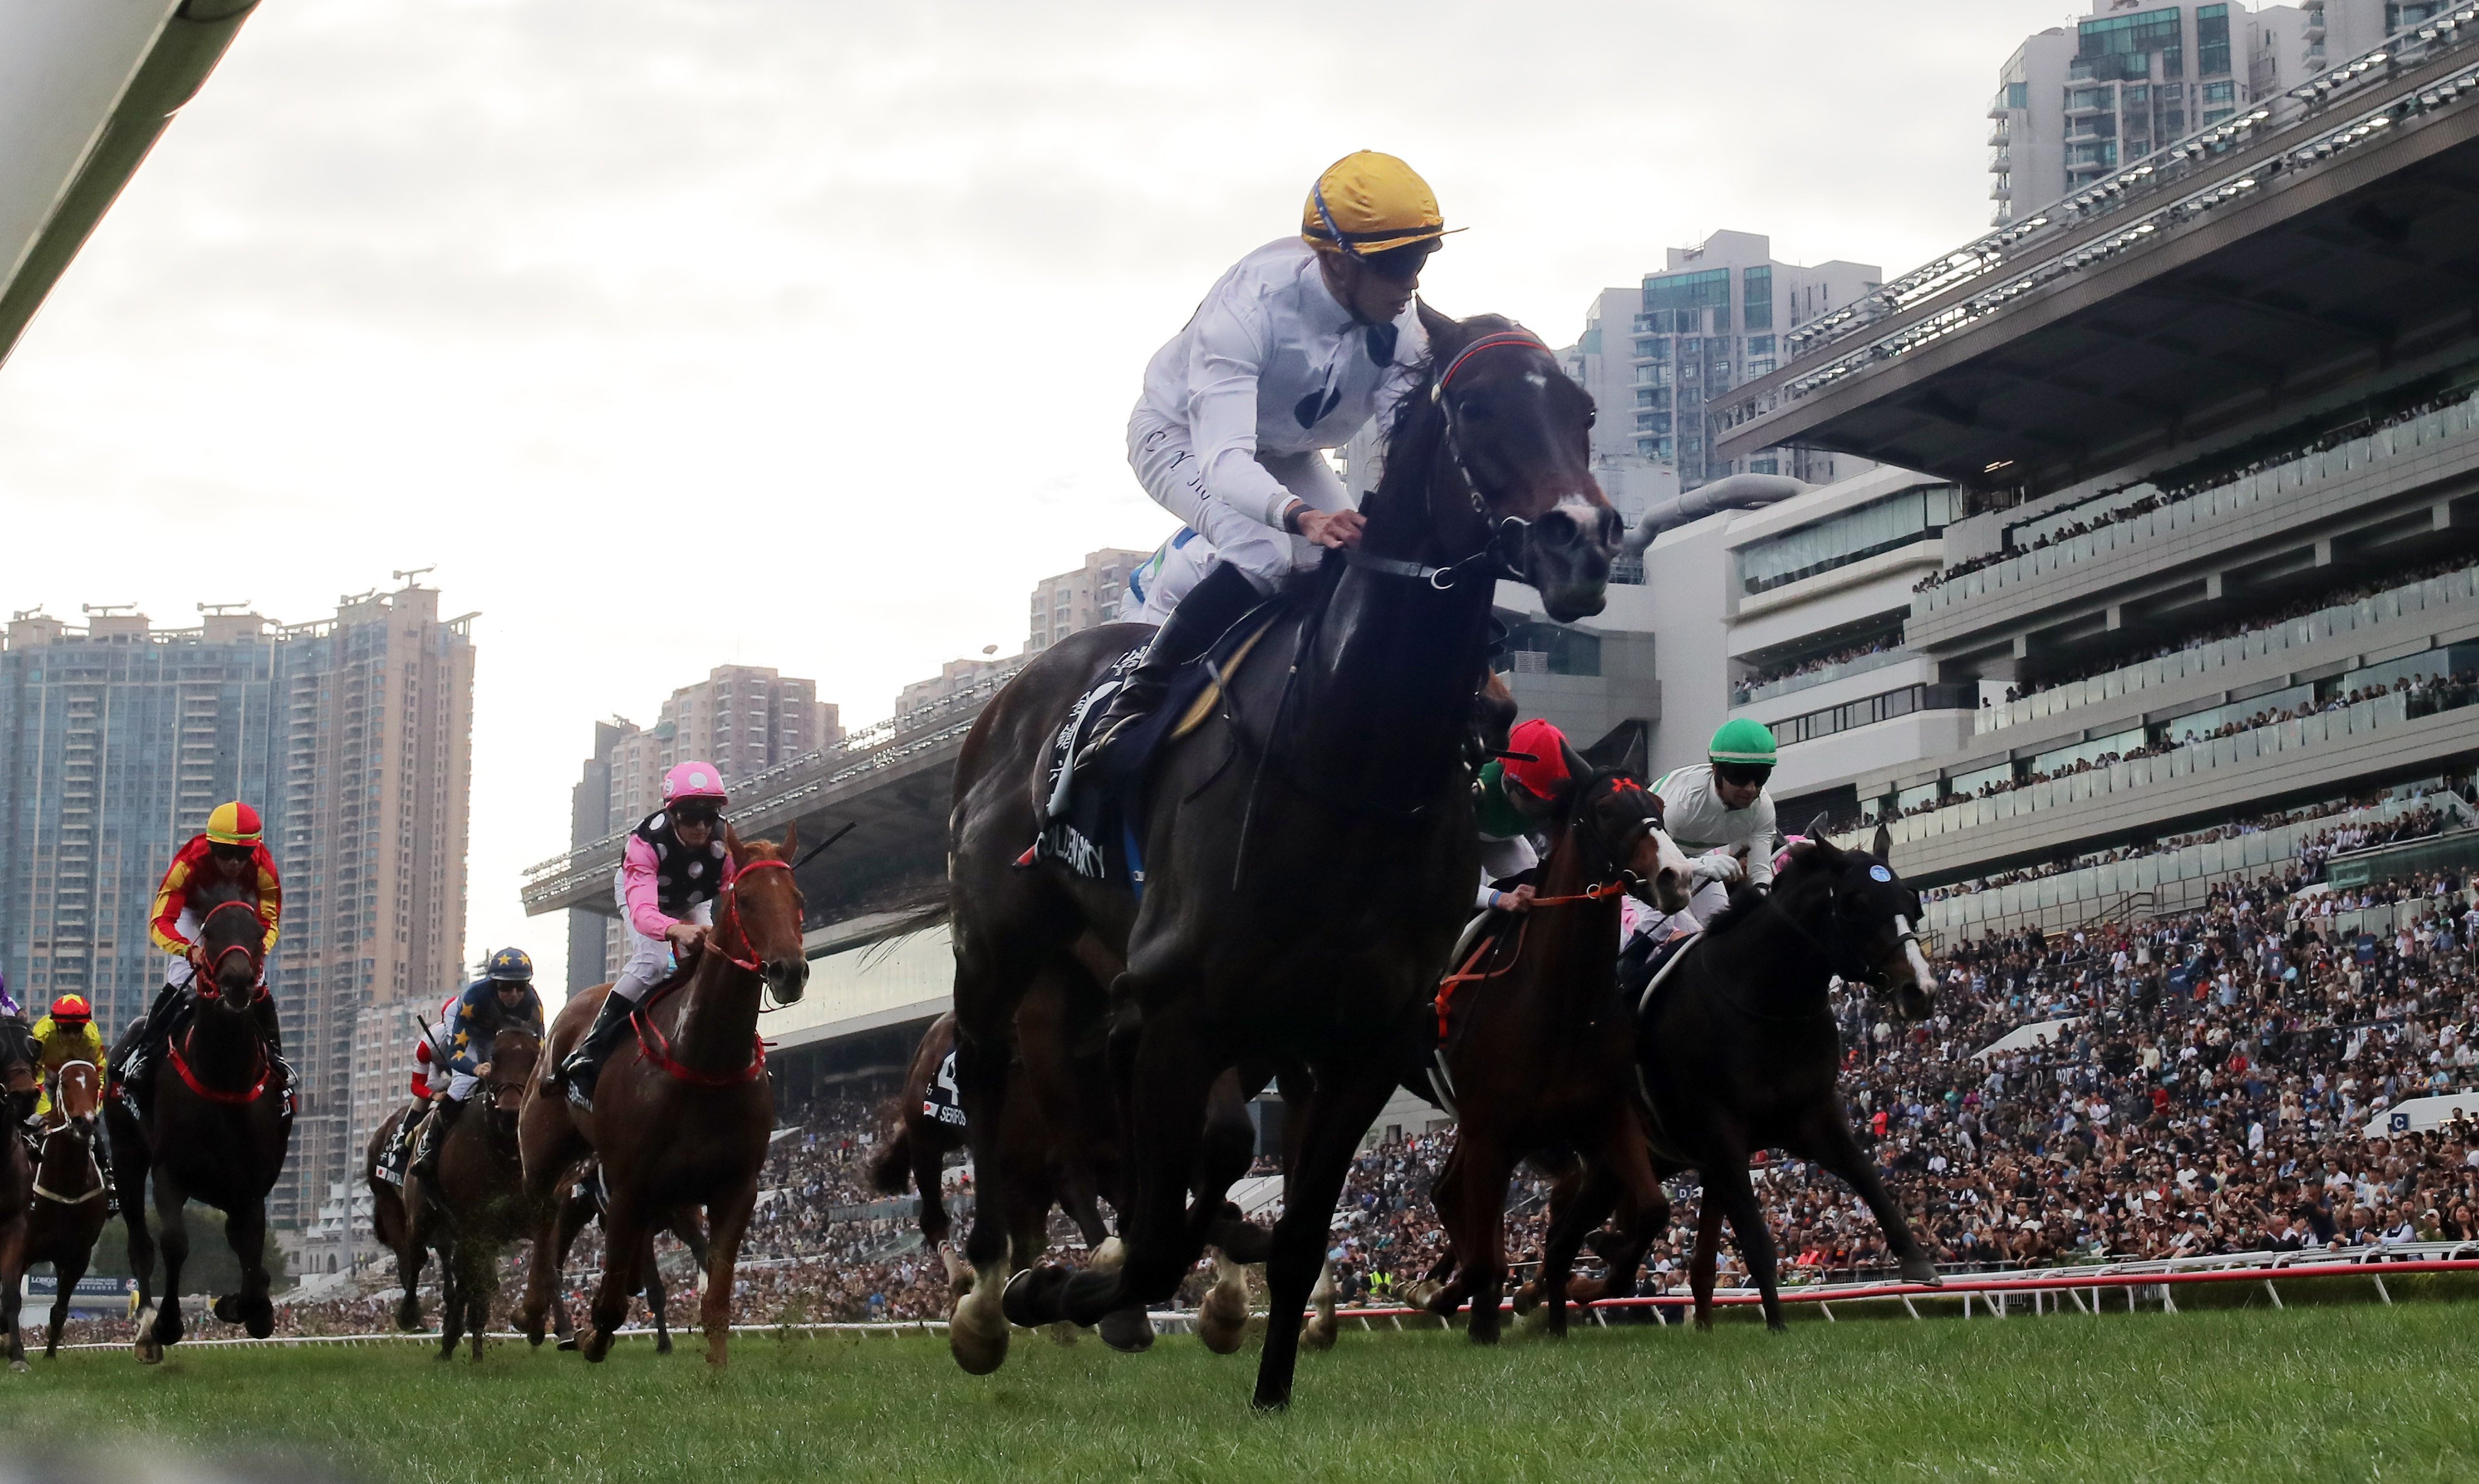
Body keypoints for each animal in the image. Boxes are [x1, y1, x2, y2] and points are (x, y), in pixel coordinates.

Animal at [105, 877, 292, 1367]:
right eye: (209, 933)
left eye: (256, 932)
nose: (238, 980)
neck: (223, 1074)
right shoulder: (170, 1171)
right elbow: (175, 1242)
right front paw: (169, 1324)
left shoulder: (251, 1184)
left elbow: (251, 1249)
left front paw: (246, 1306)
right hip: (126, 1155)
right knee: (140, 1245)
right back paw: (147, 1332)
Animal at [521, 832, 808, 1367]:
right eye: (745, 899)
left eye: (797, 899)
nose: (789, 972)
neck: (704, 1061)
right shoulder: (630, 1187)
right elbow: (612, 1302)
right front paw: (593, 1336)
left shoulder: (735, 1188)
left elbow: (715, 1296)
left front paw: (716, 1372)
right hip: (544, 1150)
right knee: (544, 1216)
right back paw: (533, 1313)